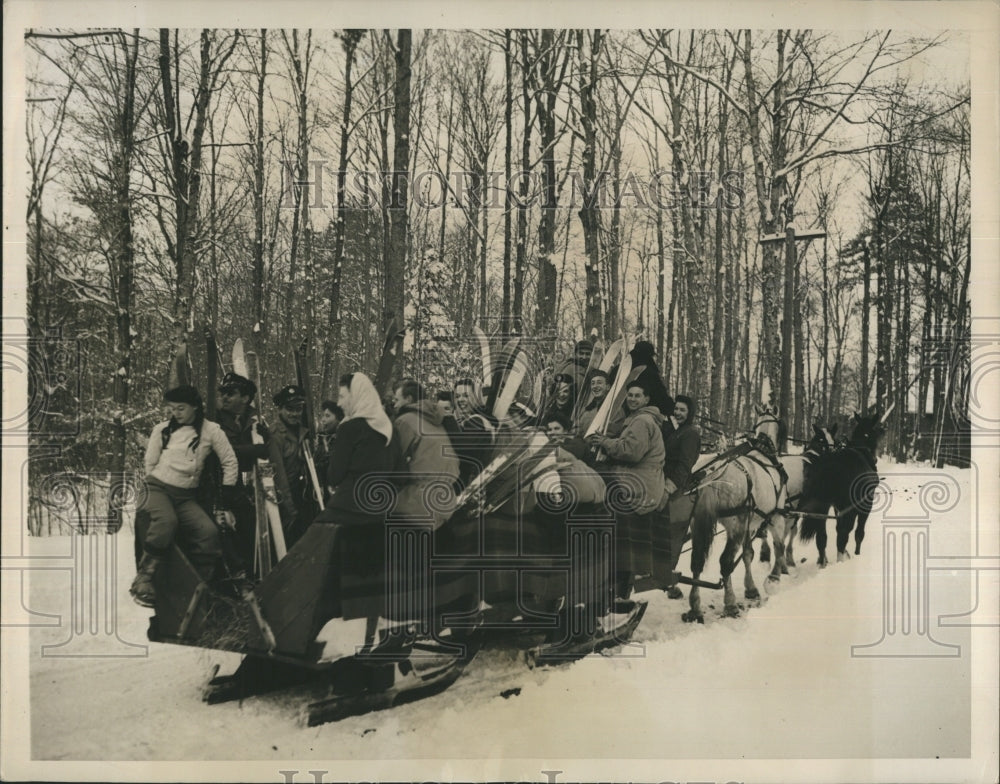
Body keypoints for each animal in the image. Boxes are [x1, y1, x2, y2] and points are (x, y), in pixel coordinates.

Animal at [684, 404, 784, 624]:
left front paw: (751, 588)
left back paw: (695, 607)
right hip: (735, 525)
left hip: (698, 523)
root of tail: (712, 474)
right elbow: (778, 546)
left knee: (697, 562)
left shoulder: (749, 523)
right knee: (726, 563)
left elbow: (748, 554)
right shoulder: (775, 517)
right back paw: (730, 604)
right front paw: (774, 578)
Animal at [792, 414, 888, 568]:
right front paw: (856, 554)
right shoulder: (864, 506)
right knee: (844, 535)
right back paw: (840, 560)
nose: (875, 458)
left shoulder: (837, 507)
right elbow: (858, 533)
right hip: (850, 507)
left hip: (822, 507)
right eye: (874, 432)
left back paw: (822, 563)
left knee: (822, 537)